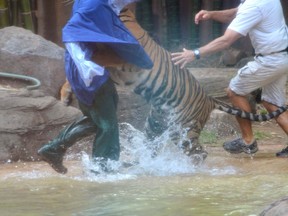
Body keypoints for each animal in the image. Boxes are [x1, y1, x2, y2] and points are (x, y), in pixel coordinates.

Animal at [59, 7, 286, 159]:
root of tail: (209, 99)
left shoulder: (122, 58)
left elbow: (93, 60)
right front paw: (65, 94)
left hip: (186, 131)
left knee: (199, 153)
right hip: (156, 123)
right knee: (153, 145)